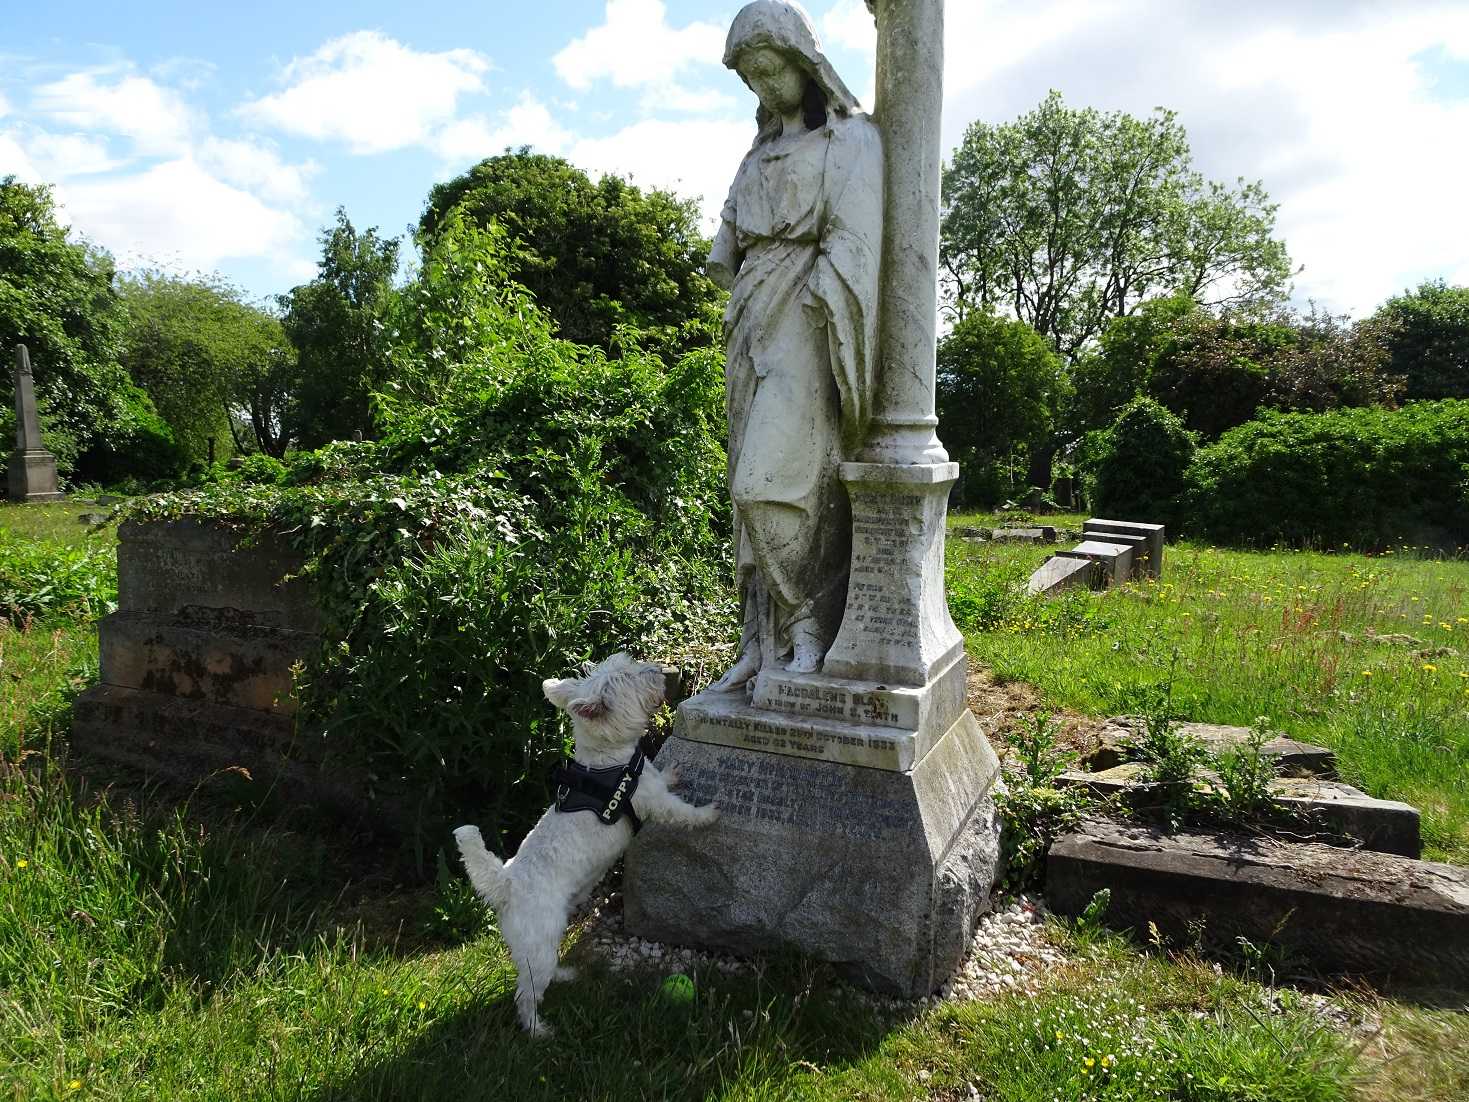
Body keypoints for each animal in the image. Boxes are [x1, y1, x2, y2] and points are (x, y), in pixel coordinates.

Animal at [452, 652, 716, 1040]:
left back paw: (563, 975)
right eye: (631, 677)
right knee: (526, 994)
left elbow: (663, 774)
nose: (656, 668)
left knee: (537, 974)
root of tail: (506, 886)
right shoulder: (654, 803)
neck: (607, 762)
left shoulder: (650, 779)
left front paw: (676, 771)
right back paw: (538, 1031)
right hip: (539, 939)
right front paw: (709, 815)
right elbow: (681, 812)